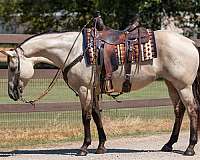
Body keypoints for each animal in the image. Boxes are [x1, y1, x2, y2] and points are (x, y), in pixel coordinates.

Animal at [1, 20, 200, 157]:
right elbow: (97, 115)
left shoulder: (84, 89)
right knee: (179, 110)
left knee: (192, 110)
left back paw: (189, 148)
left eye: (13, 67)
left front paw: (84, 147)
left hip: (183, 86)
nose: (11, 93)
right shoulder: (94, 89)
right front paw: (101, 146)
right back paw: (169, 144)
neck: (73, 51)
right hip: (171, 84)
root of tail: (190, 43)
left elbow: (86, 117)